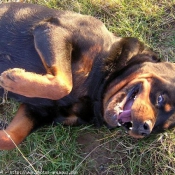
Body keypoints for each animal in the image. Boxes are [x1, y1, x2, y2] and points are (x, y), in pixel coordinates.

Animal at [0, 2, 174, 150]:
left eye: (158, 128)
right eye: (160, 98)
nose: (145, 130)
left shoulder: (40, 111)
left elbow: (9, 140)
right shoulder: (56, 29)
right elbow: (64, 85)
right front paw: (11, 79)